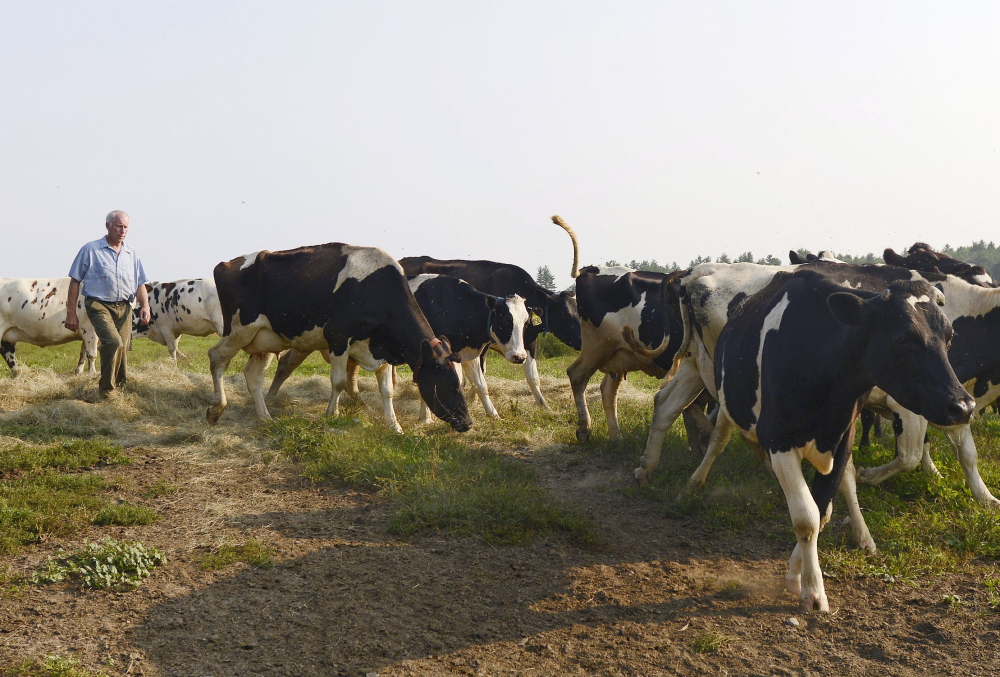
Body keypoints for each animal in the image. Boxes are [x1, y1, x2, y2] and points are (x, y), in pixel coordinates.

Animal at [206, 244, 471, 433]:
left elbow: (387, 390)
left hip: (266, 341)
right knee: (216, 357)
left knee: (253, 376)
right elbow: (339, 382)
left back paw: (265, 417)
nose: (467, 423)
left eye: (460, 384)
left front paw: (394, 426)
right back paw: (216, 409)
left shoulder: (381, 349)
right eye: (449, 384)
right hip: (238, 330)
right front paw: (331, 416)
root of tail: (227, 263)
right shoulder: (338, 338)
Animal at [266, 274, 535, 422]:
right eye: (505, 321)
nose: (520, 356)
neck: (454, 303)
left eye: (524, 323)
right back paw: (269, 399)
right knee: (285, 364)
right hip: (308, 342)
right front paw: (425, 418)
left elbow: (481, 386)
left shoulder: (467, 354)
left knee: (349, 378)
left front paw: (494, 415)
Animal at [399, 255, 582, 408]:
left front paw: (544, 405)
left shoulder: (528, 341)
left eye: (579, 311)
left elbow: (532, 377)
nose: (583, 341)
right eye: (566, 315)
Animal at [549, 215, 714, 449]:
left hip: (618, 355)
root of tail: (590, 270)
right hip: (597, 346)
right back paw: (584, 429)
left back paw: (616, 437)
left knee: (608, 390)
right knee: (577, 375)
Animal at [693, 269, 973, 611]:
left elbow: (821, 510)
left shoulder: (843, 438)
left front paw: (796, 575)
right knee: (718, 440)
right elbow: (806, 517)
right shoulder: (779, 440)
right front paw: (813, 591)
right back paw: (695, 482)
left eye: (950, 337)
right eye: (902, 338)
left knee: (846, 480)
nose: (963, 406)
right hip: (727, 404)